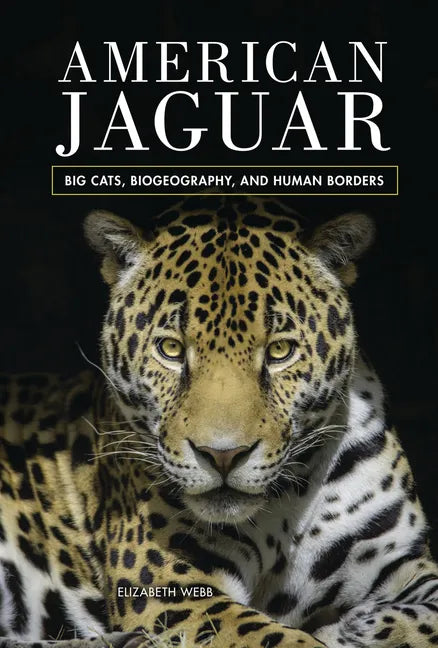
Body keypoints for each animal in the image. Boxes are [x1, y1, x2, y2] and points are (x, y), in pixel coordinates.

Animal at [0, 195, 437, 648]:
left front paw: (361, 626)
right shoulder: (169, 588)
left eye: (279, 351)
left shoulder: (403, 560)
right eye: (171, 349)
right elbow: (280, 639)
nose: (223, 456)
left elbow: (429, 615)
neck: (285, 507)